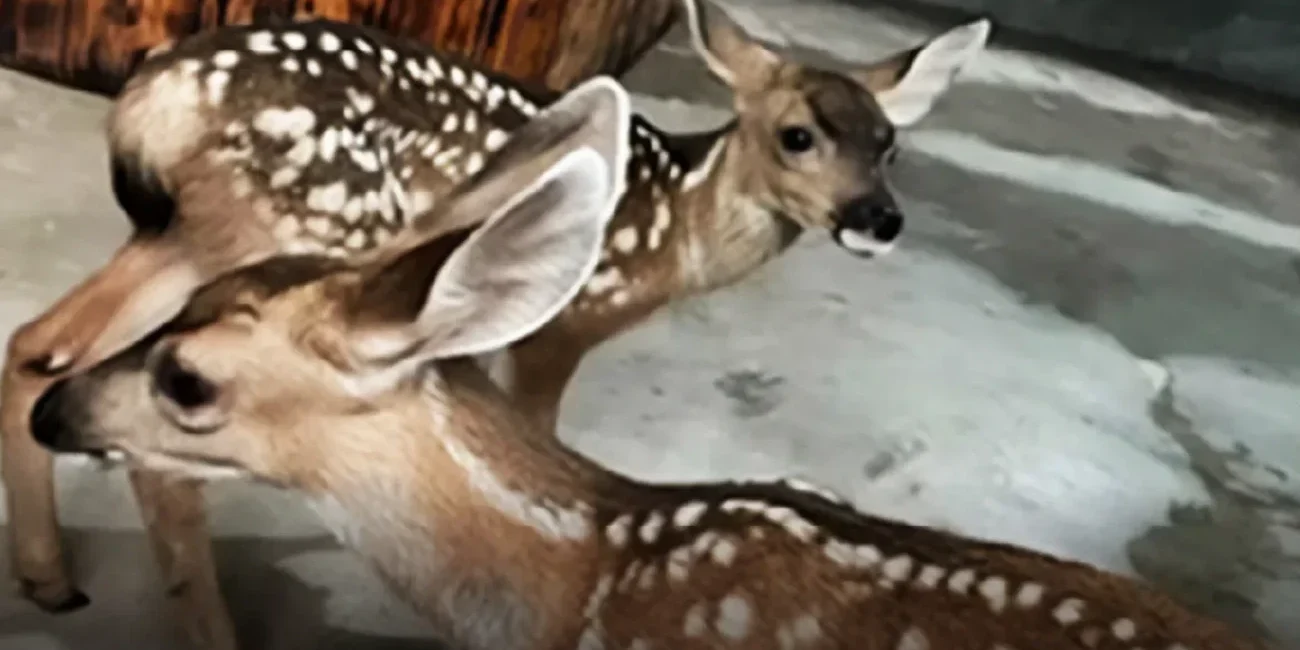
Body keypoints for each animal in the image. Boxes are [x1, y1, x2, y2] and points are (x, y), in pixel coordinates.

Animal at [1, 1, 989, 646]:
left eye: (889, 145)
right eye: (797, 135)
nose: (877, 219)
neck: (680, 229)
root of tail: (156, 98)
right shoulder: (566, 323)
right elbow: (540, 437)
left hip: (188, 234)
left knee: (38, 348)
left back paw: (49, 579)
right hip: (296, 227)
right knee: (152, 444)